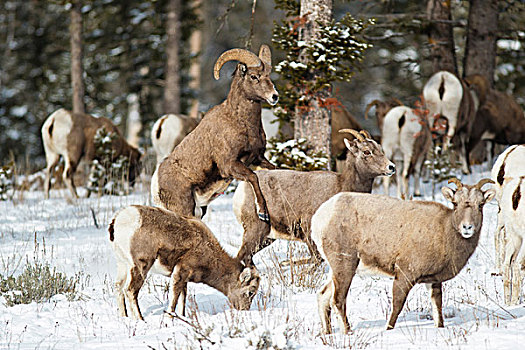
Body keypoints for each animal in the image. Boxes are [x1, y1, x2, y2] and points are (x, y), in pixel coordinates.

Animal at [109, 205, 260, 320]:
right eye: (250, 292)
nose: (244, 310)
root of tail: (119, 219)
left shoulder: (184, 277)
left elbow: (182, 297)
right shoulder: (180, 272)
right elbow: (174, 299)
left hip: (122, 264)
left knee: (118, 287)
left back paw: (124, 317)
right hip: (140, 266)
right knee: (130, 290)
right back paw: (141, 319)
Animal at [151, 45, 278, 221]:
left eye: (268, 76)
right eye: (254, 76)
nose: (274, 96)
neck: (240, 122)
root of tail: (155, 185)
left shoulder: (257, 158)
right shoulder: (229, 165)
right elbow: (254, 177)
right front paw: (263, 213)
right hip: (185, 210)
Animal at [231, 130, 396, 264]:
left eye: (380, 149)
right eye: (366, 152)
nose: (391, 167)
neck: (341, 186)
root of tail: (241, 189)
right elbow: (317, 259)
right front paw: (285, 264)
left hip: (267, 238)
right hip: (255, 231)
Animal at [312, 179, 496, 332]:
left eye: (480, 204)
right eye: (455, 203)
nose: (467, 227)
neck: (445, 232)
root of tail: (320, 217)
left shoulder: (433, 281)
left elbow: (437, 309)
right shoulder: (405, 275)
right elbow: (397, 306)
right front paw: (388, 329)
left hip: (337, 269)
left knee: (323, 296)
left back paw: (328, 333)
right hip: (345, 265)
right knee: (338, 300)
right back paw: (348, 332)